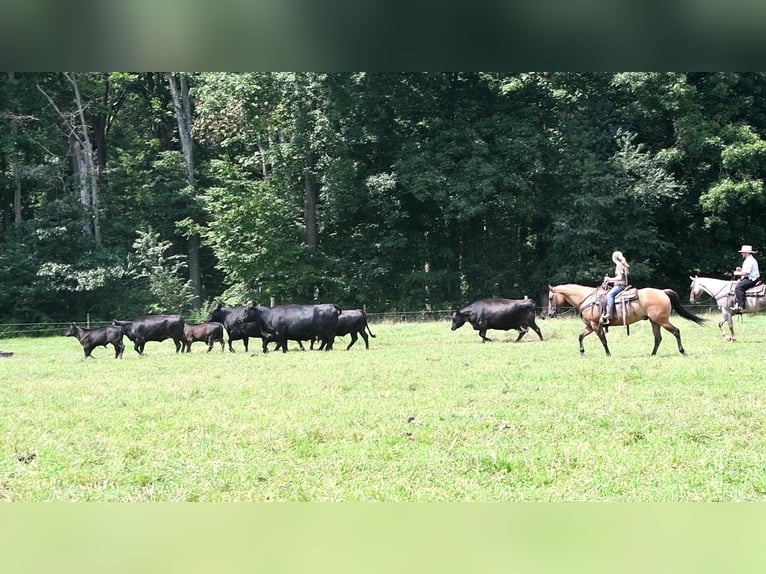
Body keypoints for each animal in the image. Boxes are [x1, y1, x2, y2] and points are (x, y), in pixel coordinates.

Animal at [544, 282, 708, 356]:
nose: (550, 314)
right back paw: (652, 354)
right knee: (658, 338)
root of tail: (662, 292)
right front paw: (582, 352)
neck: (588, 299)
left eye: (551, 298)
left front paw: (608, 354)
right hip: (654, 321)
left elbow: (603, 340)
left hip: (662, 320)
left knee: (676, 331)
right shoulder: (590, 326)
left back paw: (682, 351)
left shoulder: (596, 325)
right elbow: (580, 336)